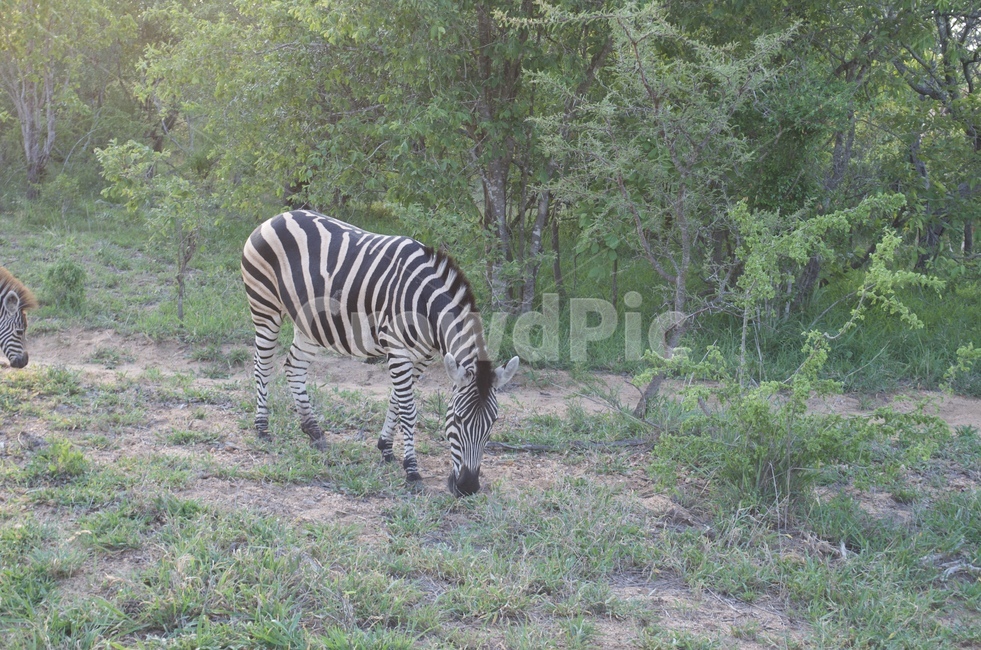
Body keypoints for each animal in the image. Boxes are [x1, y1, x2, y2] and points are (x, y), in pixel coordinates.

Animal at [241, 210, 520, 496]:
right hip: (265, 306)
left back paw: (314, 431)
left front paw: (385, 448)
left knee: (294, 367)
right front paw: (412, 470)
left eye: (493, 423)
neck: (426, 304)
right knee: (263, 366)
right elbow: (408, 409)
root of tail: (278, 217)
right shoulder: (397, 349)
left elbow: (396, 401)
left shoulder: (421, 356)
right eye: (459, 419)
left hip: (309, 322)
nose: (468, 487)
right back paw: (262, 428)